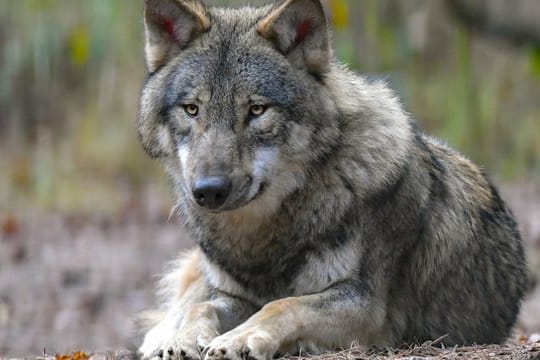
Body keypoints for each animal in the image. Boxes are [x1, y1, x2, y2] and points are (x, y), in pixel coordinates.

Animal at [136, 0, 528, 358]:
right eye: (192, 109)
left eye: (257, 110)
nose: (208, 191)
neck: (263, 236)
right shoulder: (231, 295)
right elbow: (202, 306)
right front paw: (182, 339)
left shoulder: (364, 305)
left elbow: (283, 304)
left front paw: (240, 338)